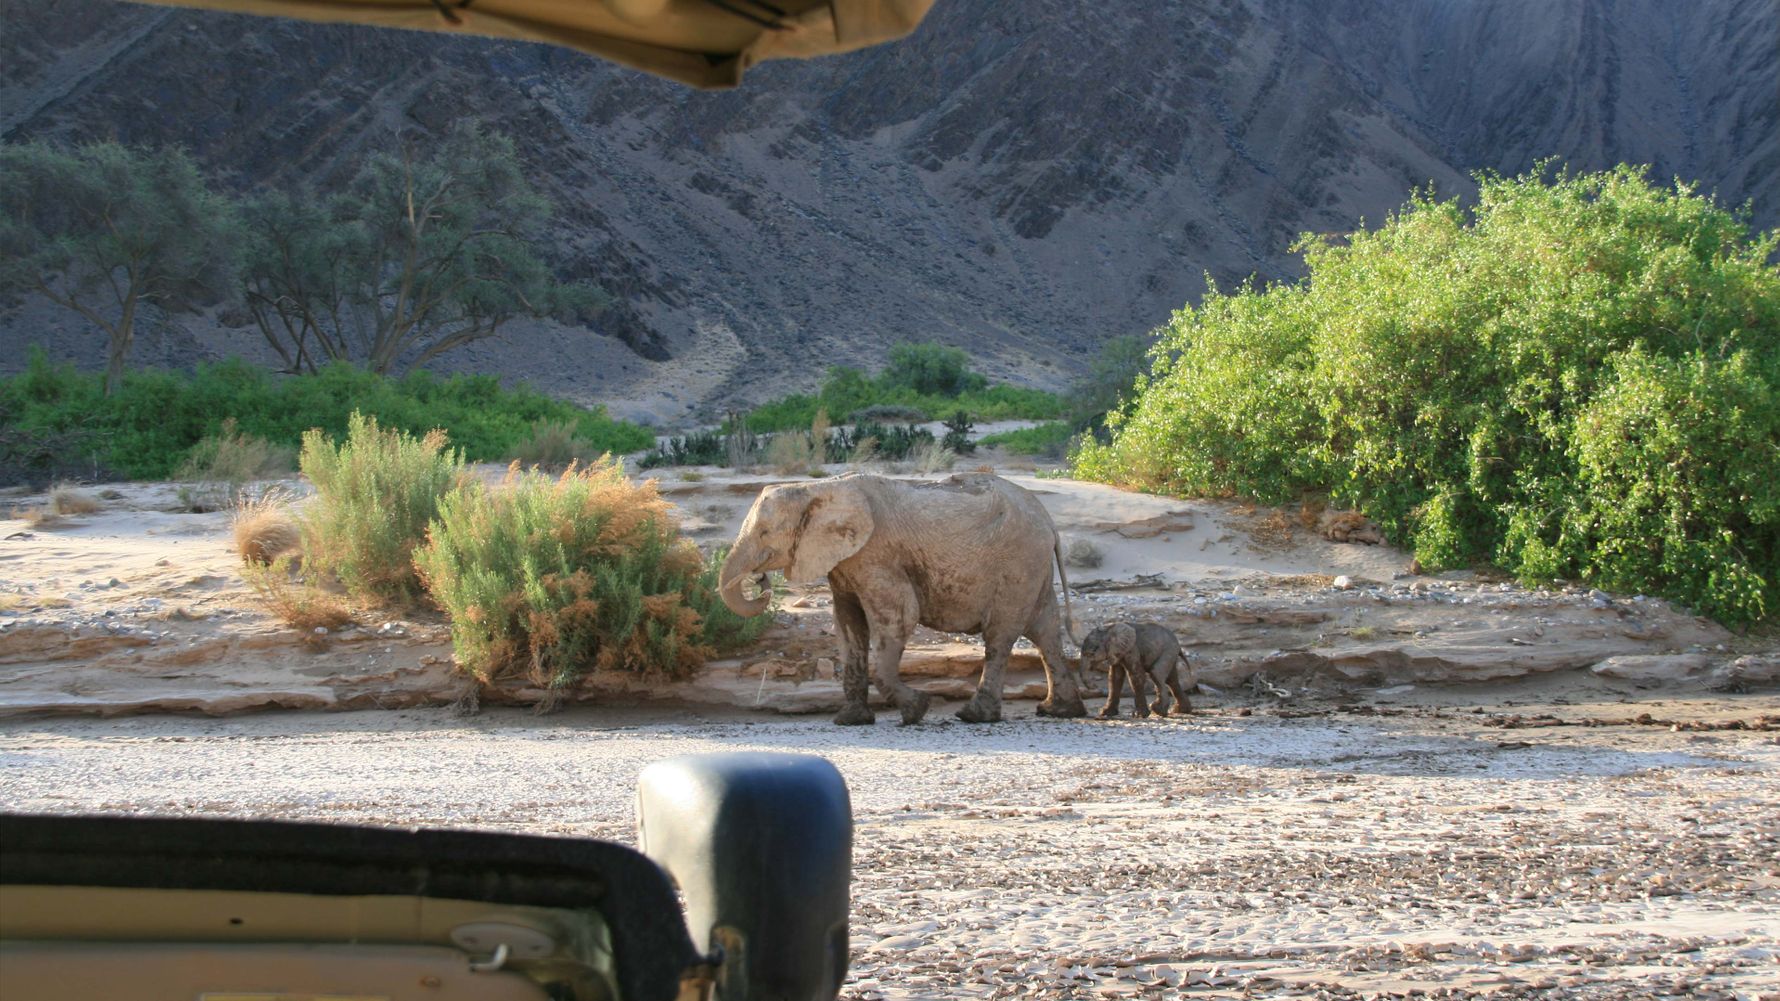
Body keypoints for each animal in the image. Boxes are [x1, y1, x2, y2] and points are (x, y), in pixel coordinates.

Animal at [718, 472, 1088, 725]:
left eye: (765, 533)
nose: (759, 578)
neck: (819, 487)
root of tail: (1049, 521)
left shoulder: (875, 555)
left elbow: (899, 615)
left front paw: (917, 710)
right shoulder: (845, 563)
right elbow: (848, 626)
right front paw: (850, 721)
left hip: (1017, 563)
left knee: (1001, 635)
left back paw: (973, 716)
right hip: (1033, 566)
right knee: (1045, 630)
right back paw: (1058, 711)